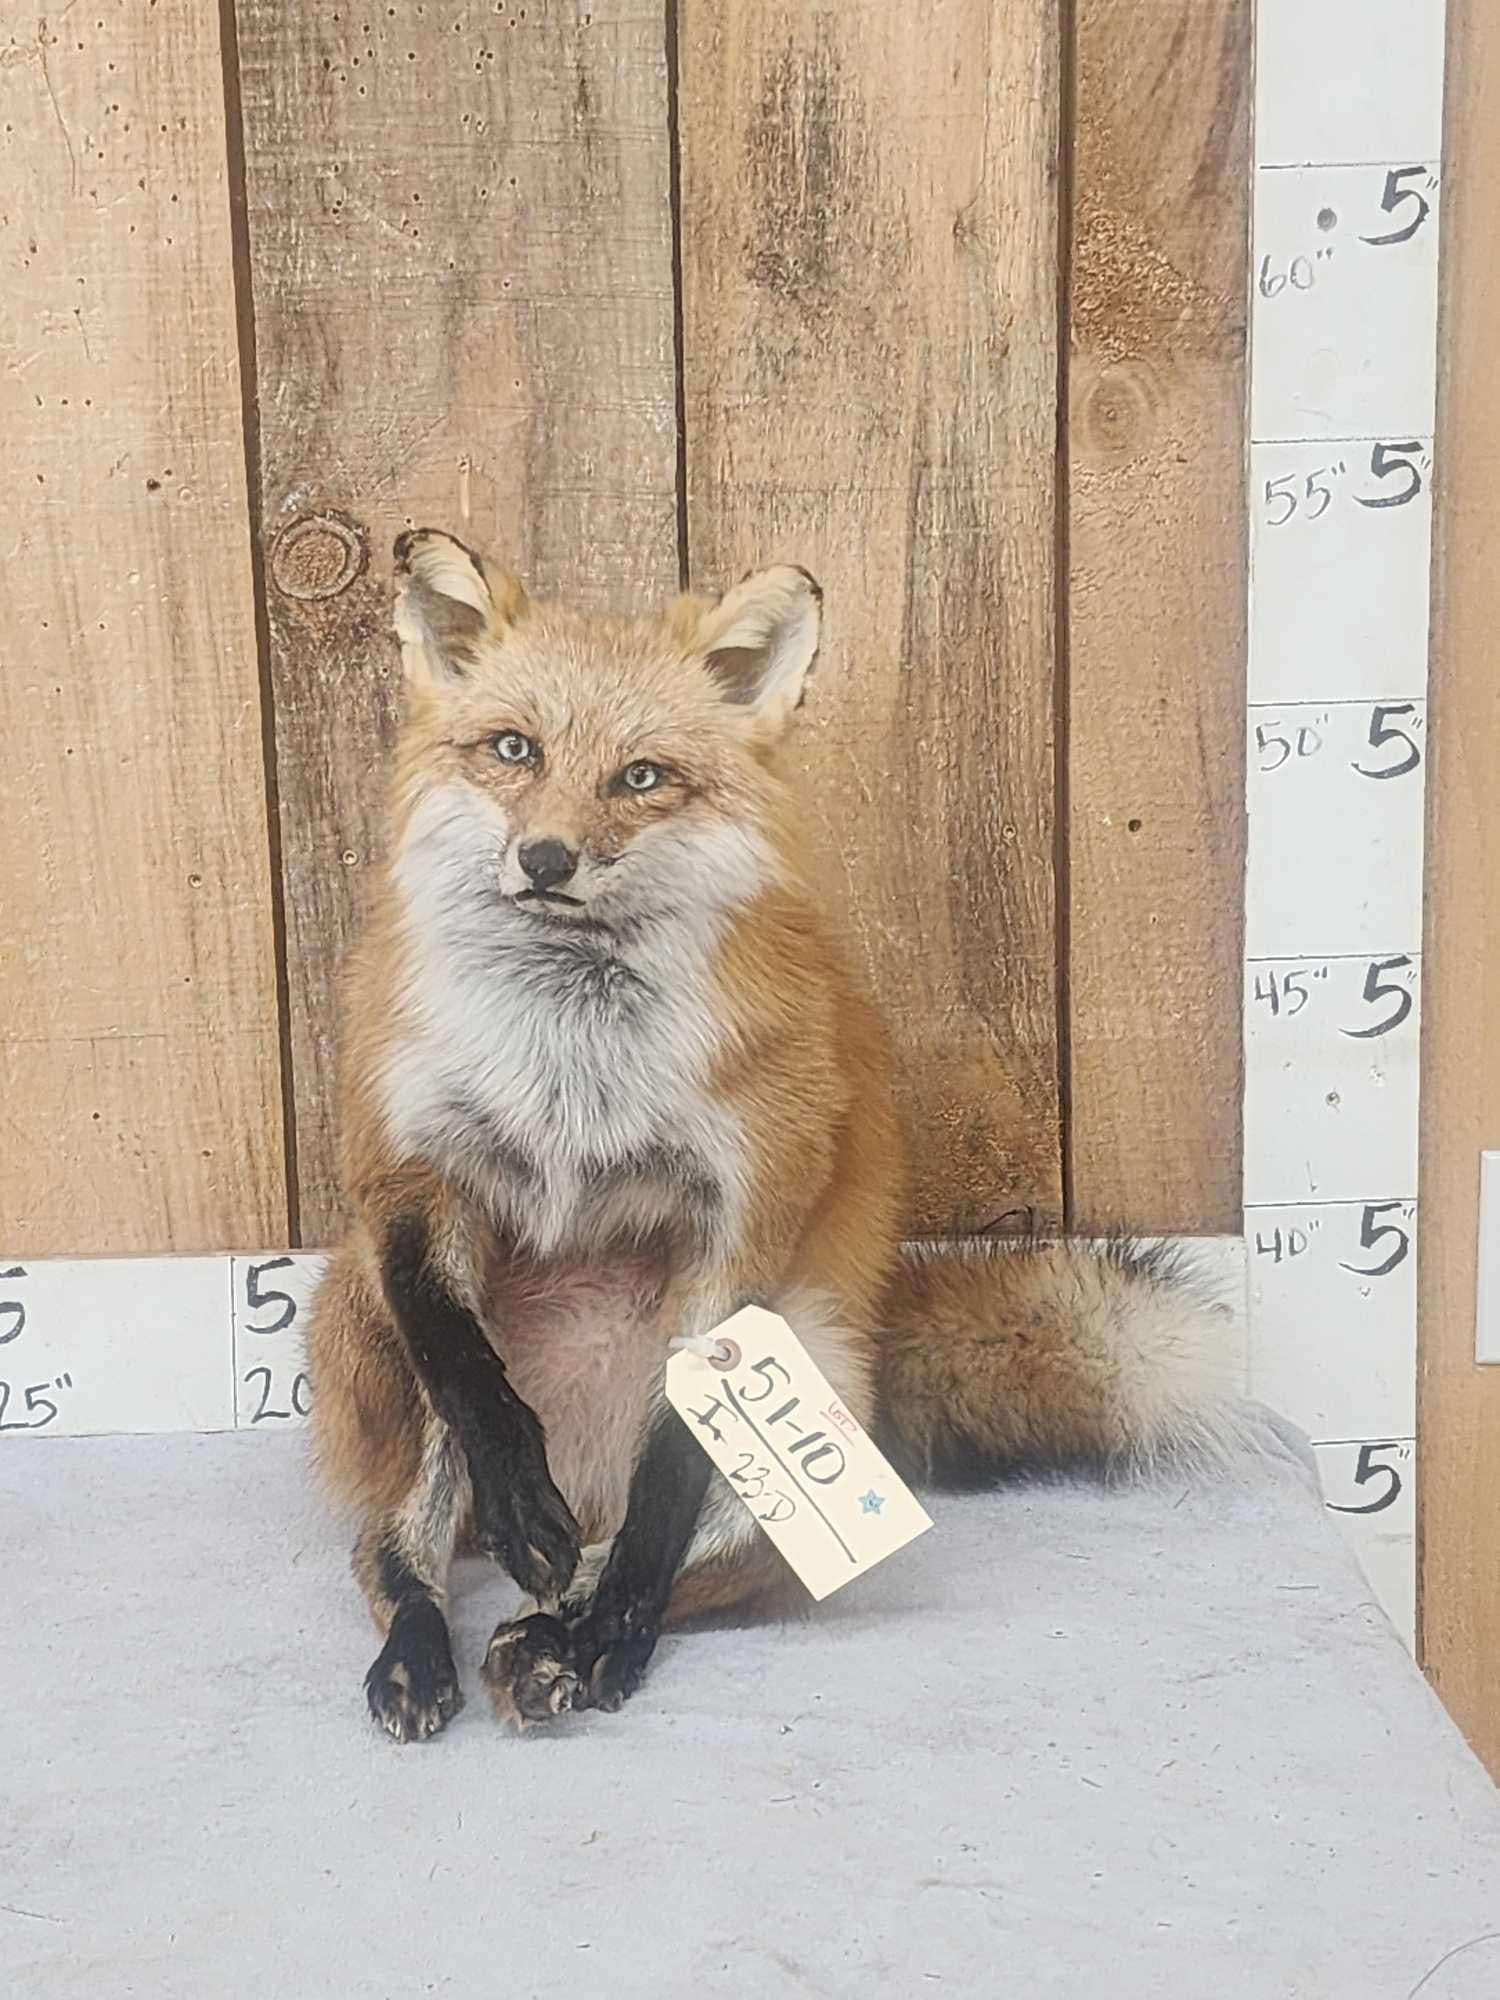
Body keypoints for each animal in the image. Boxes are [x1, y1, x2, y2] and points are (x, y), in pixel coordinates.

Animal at [305, 527, 1245, 1743]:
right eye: (514, 748)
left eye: (641, 776)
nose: (547, 859)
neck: (572, 1047)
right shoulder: (405, 1170)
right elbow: (466, 1372)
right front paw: (517, 1500)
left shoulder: (750, 1196)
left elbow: (670, 1471)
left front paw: (610, 1629)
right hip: (356, 1305)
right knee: (393, 1546)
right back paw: (431, 1645)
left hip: (810, 1357)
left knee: (676, 1556)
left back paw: (561, 1636)